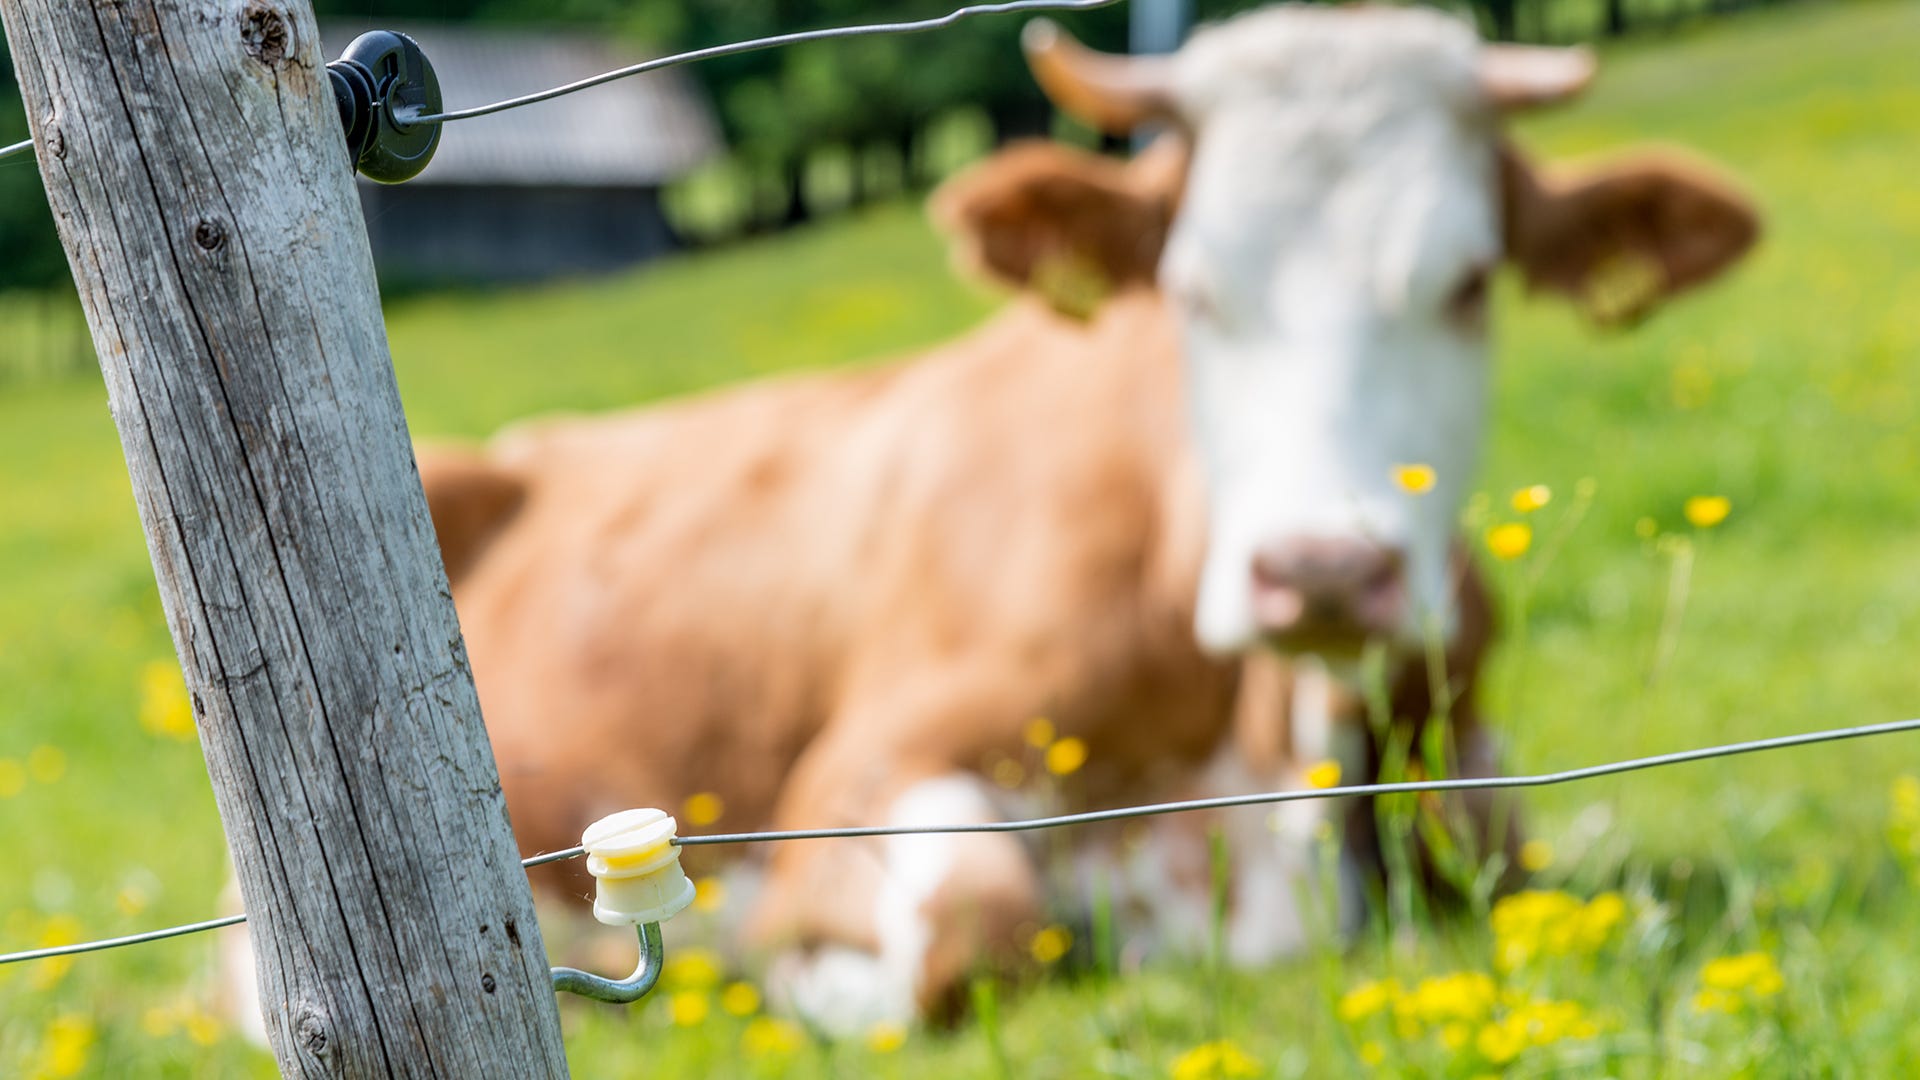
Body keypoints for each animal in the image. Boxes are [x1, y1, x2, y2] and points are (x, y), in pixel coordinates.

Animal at [224, 4, 1758, 1037]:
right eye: (1191, 286)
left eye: (1471, 281)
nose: (1322, 572)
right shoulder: (856, 770)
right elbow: (978, 918)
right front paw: (811, 974)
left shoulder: (1469, 766)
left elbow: (1496, 842)